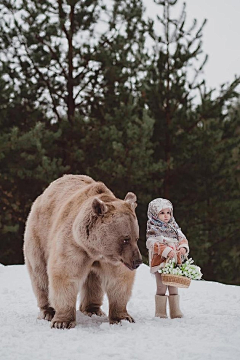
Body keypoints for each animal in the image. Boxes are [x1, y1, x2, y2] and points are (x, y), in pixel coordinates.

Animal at [23, 174, 142, 330]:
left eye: (136, 237)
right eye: (125, 239)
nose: (137, 261)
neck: (94, 249)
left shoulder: (112, 259)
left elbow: (118, 280)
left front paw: (123, 317)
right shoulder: (73, 246)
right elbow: (65, 275)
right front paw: (62, 321)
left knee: (94, 280)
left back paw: (94, 310)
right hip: (39, 236)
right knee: (40, 275)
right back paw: (47, 312)